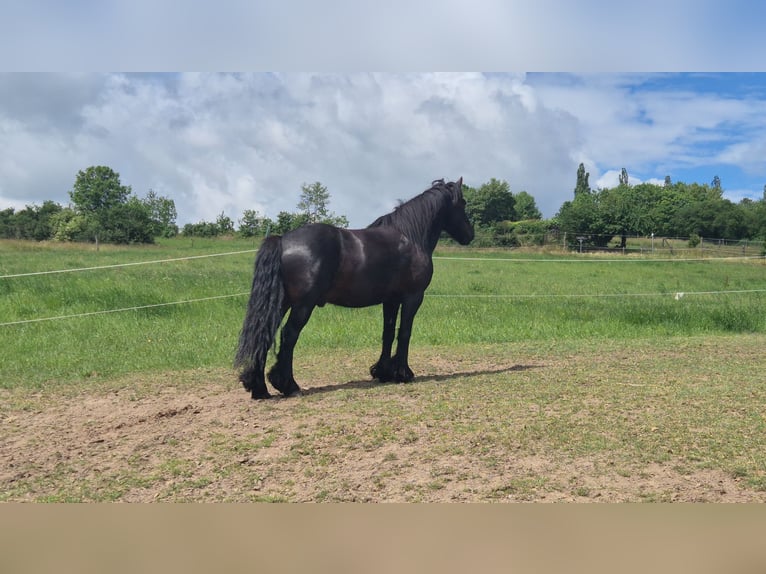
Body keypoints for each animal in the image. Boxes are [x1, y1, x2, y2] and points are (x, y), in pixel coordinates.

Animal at [234, 177, 474, 399]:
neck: (410, 237)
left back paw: (259, 388)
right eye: (462, 203)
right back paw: (289, 385)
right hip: (303, 305)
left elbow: (388, 333)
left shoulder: (391, 300)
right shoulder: (413, 297)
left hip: (281, 303)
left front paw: (383, 372)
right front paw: (404, 373)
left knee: (265, 334)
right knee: (289, 335)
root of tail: (283, 240)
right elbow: (405, 332)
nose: (470, 235)